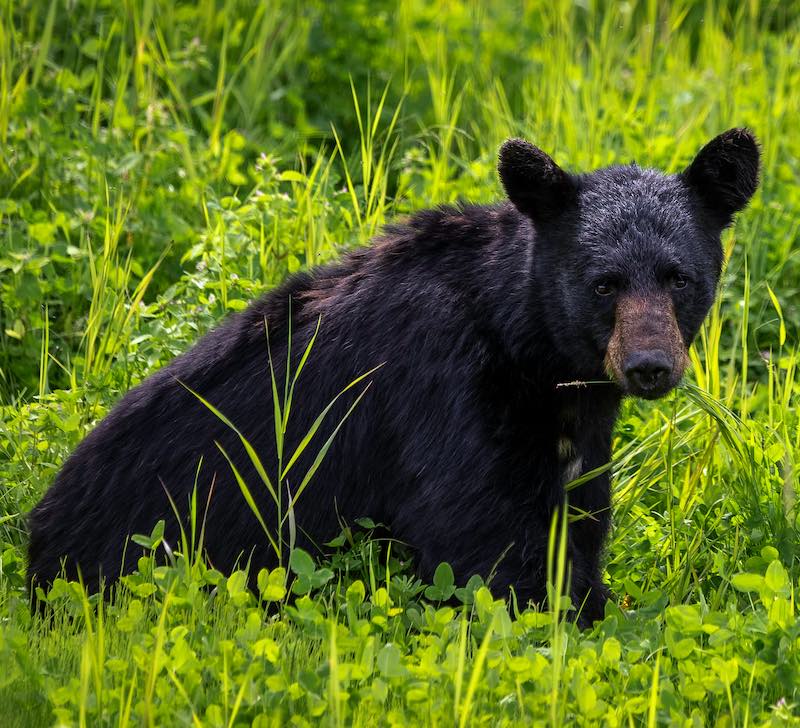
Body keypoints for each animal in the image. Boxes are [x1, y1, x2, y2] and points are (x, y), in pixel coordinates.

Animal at [27, 128, 760, 624]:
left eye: (679, 278)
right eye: (604, 283)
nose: (649, 365)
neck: (528, 349)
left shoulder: (574, 430)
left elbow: (577, 519)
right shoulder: (446, 392)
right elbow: (483, 544)